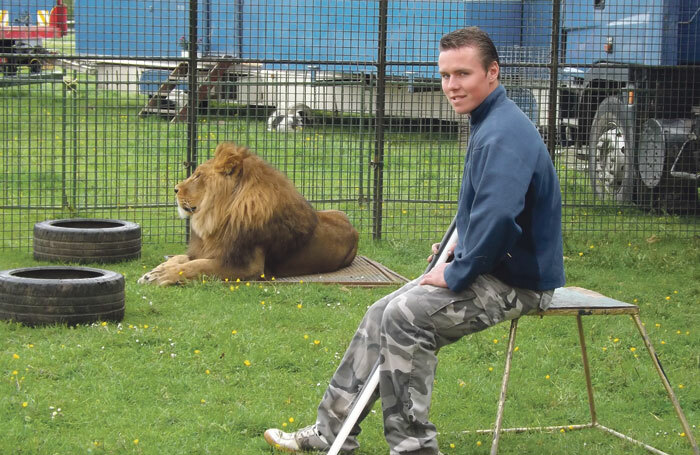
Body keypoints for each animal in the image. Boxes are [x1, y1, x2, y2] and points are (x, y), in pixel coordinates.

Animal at [142, 141, 360, 286]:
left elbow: (195, 266)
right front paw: (156, 271)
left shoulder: (247, 267)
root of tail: (354, 229)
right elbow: (183, 258)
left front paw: (162, 276)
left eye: (198, 176)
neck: (219, 218)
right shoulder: (210, 250)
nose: (175, 189)